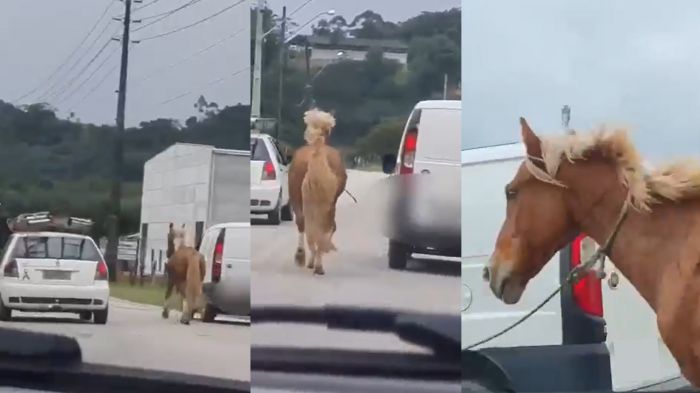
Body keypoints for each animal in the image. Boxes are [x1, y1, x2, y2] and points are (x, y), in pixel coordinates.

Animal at [288, 107, 348, 272]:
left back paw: (304, 256)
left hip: (298, 196)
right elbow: (330, 228)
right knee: (324, 225)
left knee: (304, 222)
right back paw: (316, 263)